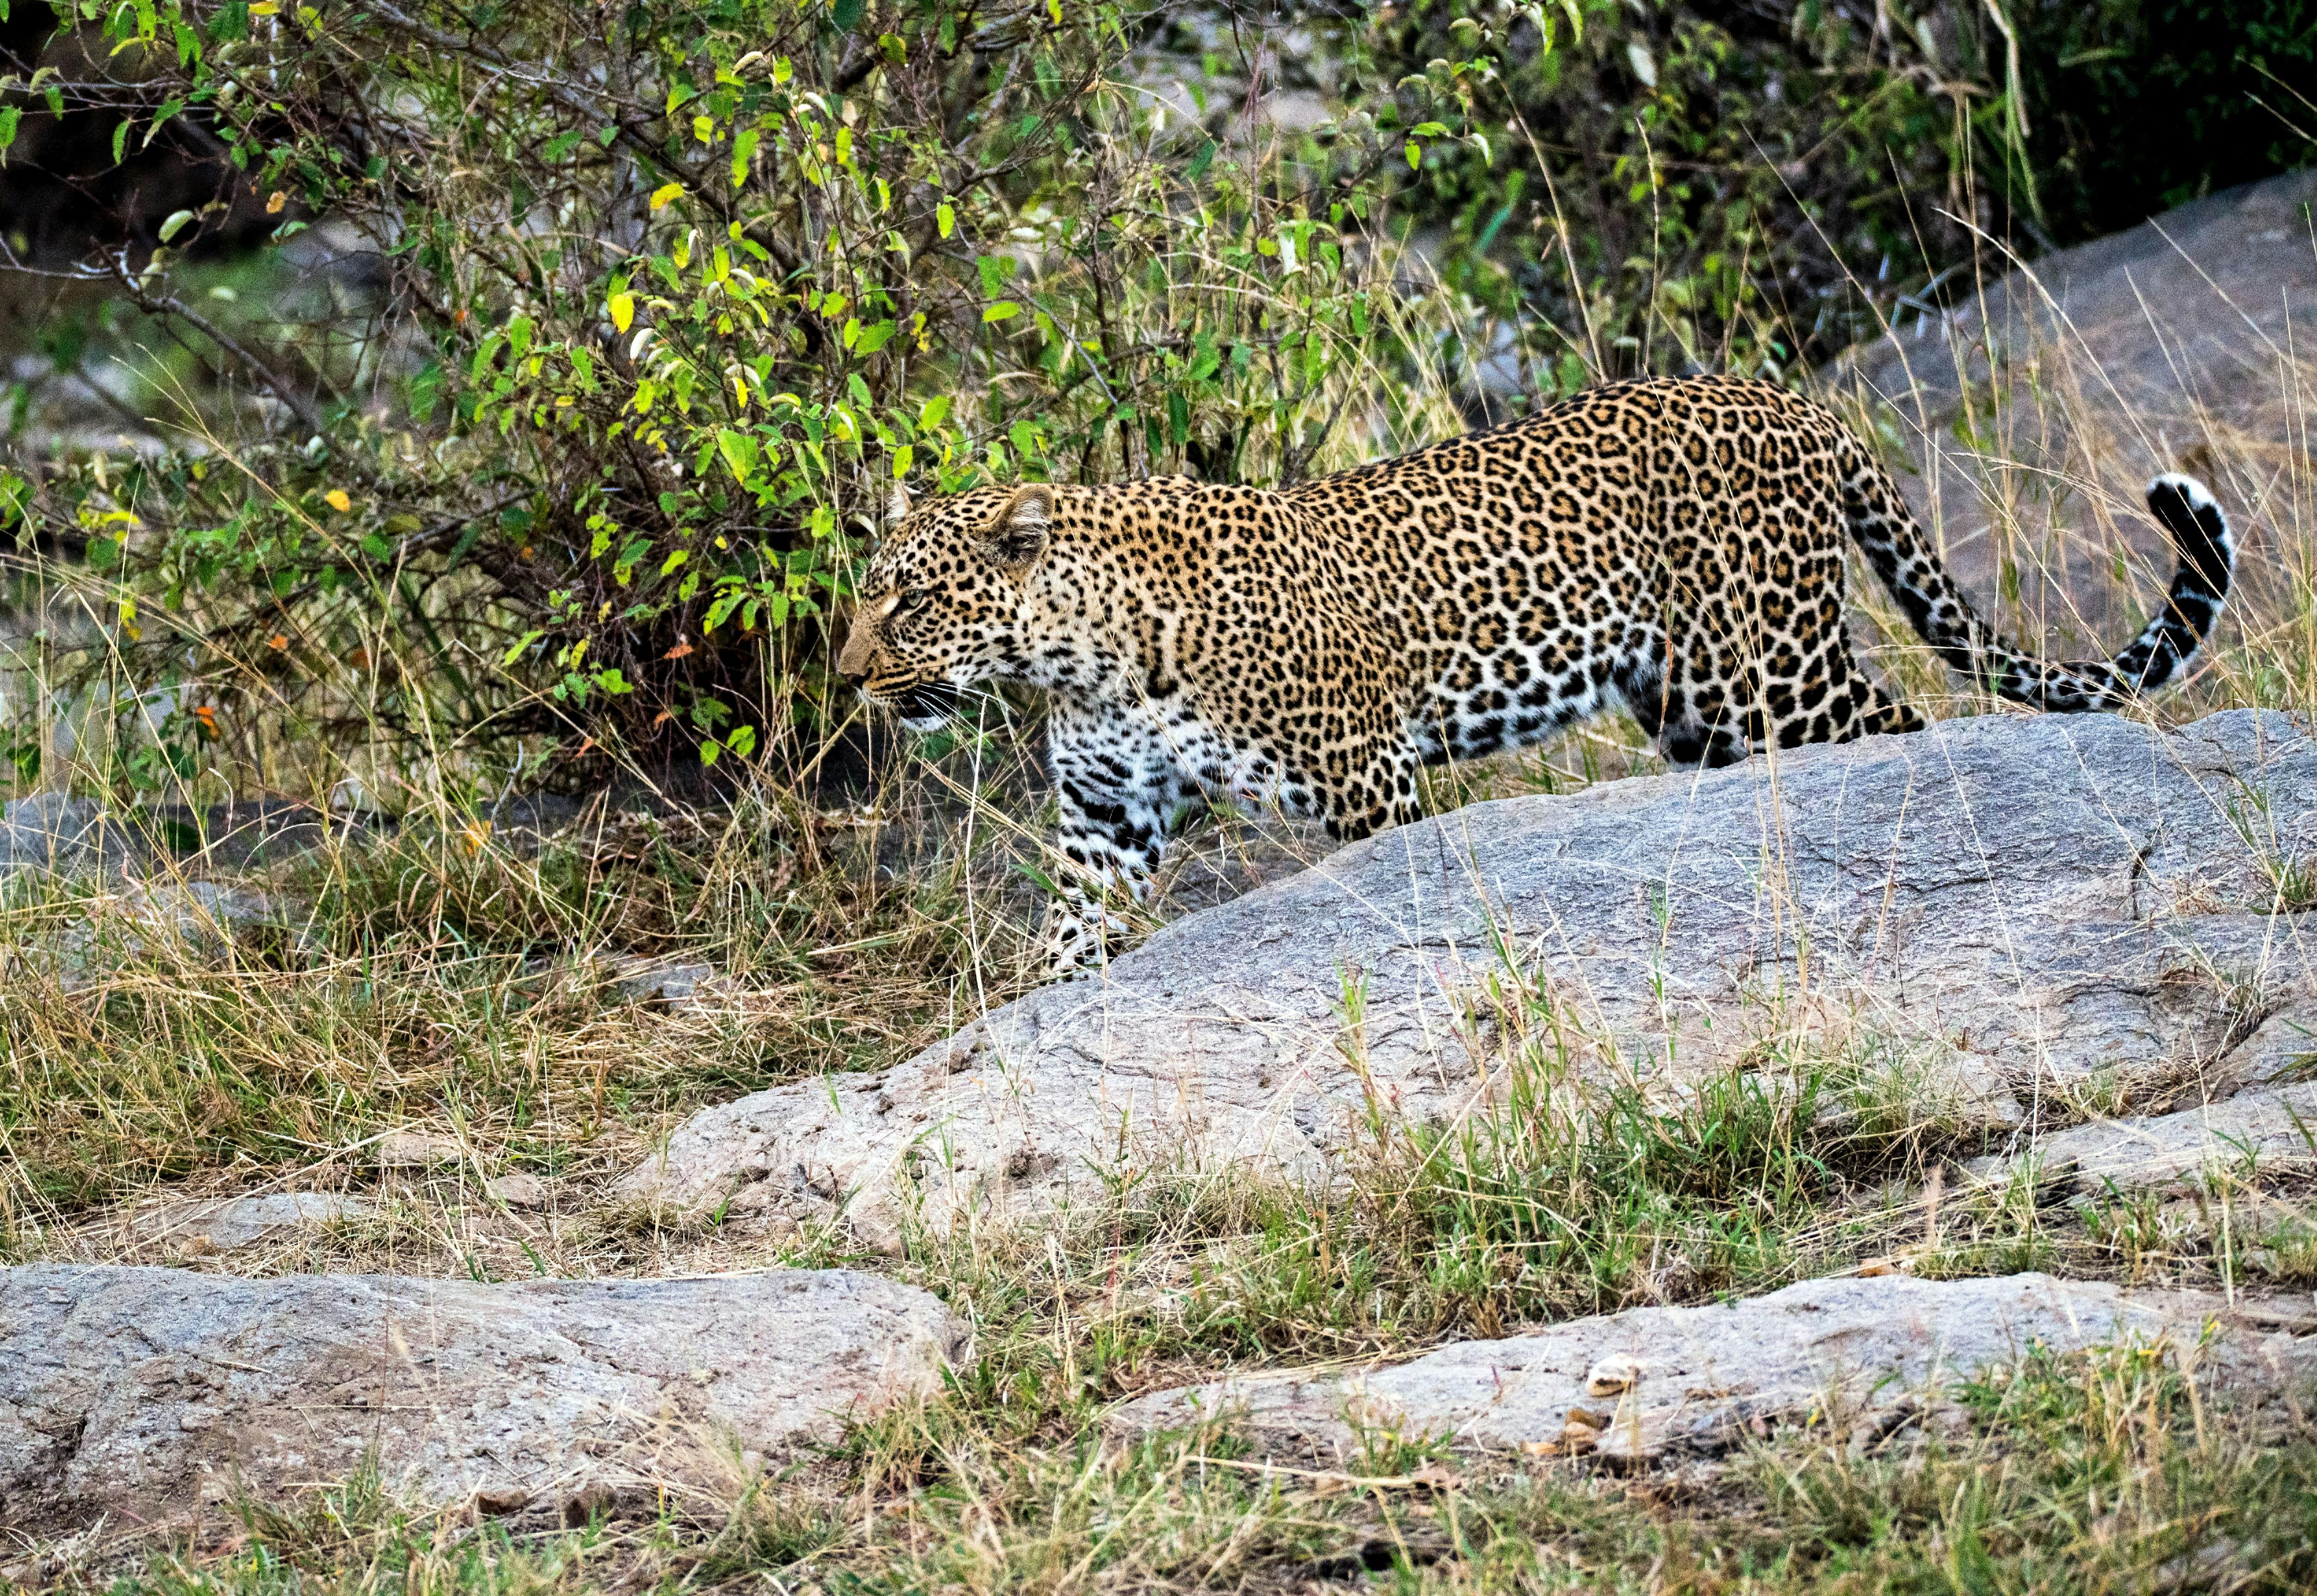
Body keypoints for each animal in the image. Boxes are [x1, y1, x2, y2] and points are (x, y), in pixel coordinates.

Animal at [837, 374, 2234, 977]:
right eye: (866, 595)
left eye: (909, 599)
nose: (849, 680)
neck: (1080, 656)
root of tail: (1794, 398)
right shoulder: (1105, 819)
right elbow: (1068, 935)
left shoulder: (1364, 781)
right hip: (1694, 704)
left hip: (1766, 665)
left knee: (1900, 721)